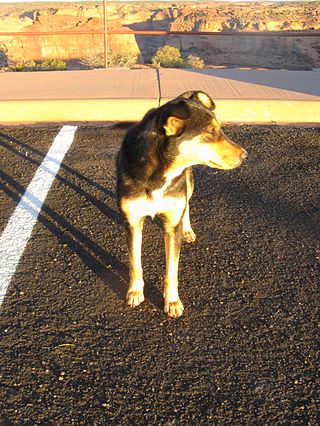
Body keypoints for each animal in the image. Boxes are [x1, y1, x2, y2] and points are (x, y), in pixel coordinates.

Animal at [116, 90, 246, 316]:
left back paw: (187, 230)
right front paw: (135, 291)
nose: (245, 155)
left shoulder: (171, 225)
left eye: (219, 128)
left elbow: (172, 269)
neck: (158, 172)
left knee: (187, 205)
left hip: (188, 183)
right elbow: (135, 262)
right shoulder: (133, 223)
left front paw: (172, 301)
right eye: (210, 131)